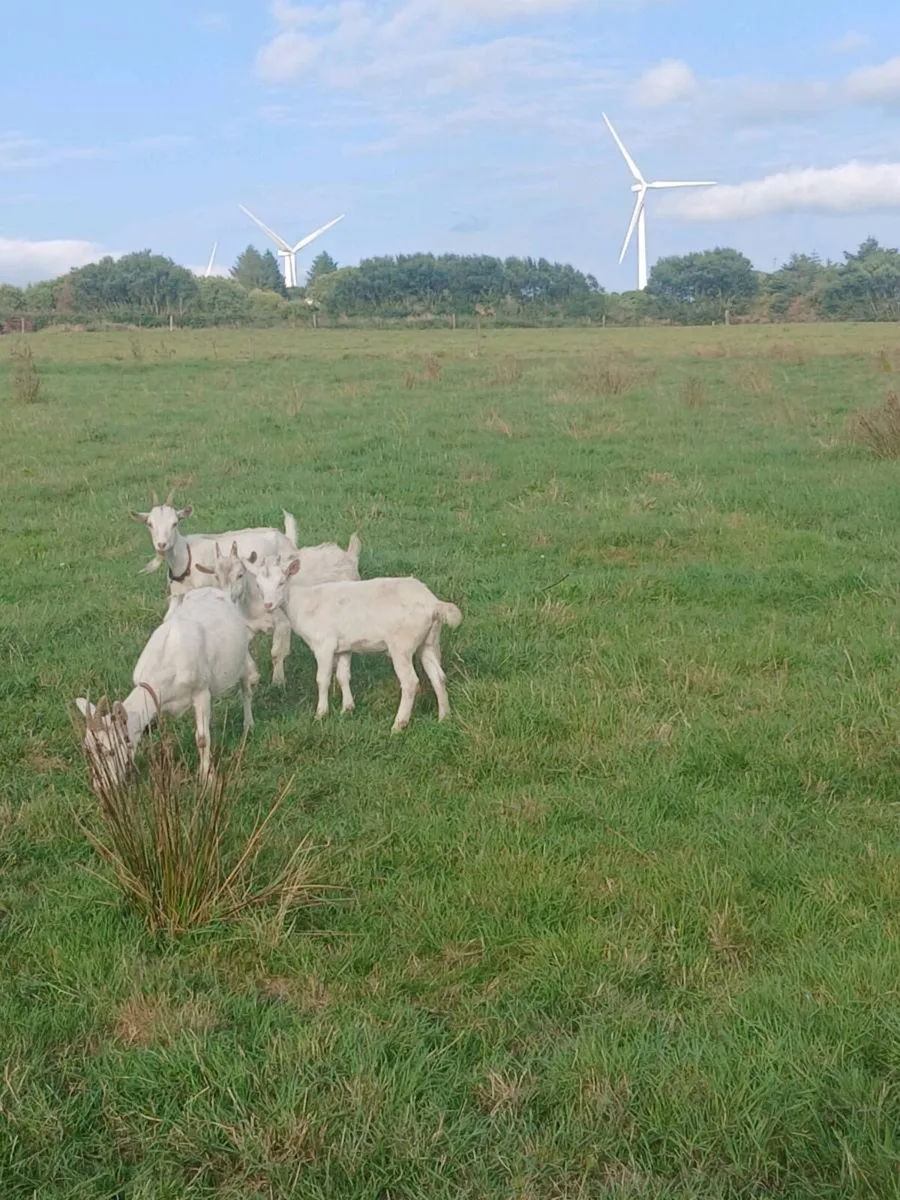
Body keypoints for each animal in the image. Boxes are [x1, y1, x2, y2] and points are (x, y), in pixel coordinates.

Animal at [75, 588, 258, 793]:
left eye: (110, 751)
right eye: (88, 750)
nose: (101, 787)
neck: (166, 663)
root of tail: (214, 590)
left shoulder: (201, 691)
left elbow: (202, 738)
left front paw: (207, 779)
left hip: (241, 656)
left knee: (246, 687)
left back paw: (248, 724)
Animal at [129, 490, 297, 685]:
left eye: (175, 523)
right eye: (150, 524)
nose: (161, 545)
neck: (186, 559)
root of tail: (285, 537)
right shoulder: (177, 595)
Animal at [212, 534, 362, 685]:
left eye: (240, 575)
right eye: (216, 576)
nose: (226, 597)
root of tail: (348, 556)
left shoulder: (283, 623)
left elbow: (276, 653)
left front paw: (278, 681)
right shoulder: (249, 626)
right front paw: (253, 678)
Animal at [251, 561, 462, 731]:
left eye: (281, 582)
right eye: (258, 586)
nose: (268, 605)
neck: (300, 603)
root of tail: (434, 604)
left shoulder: (324, 645)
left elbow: (322, 679)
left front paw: (320, 714)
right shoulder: (344, 647)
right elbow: (343, 676)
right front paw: (347, 709)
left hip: (401, 644)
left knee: (410, 682)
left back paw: (398, 725)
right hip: (429, 641)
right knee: (438, 677)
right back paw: (444, 717)